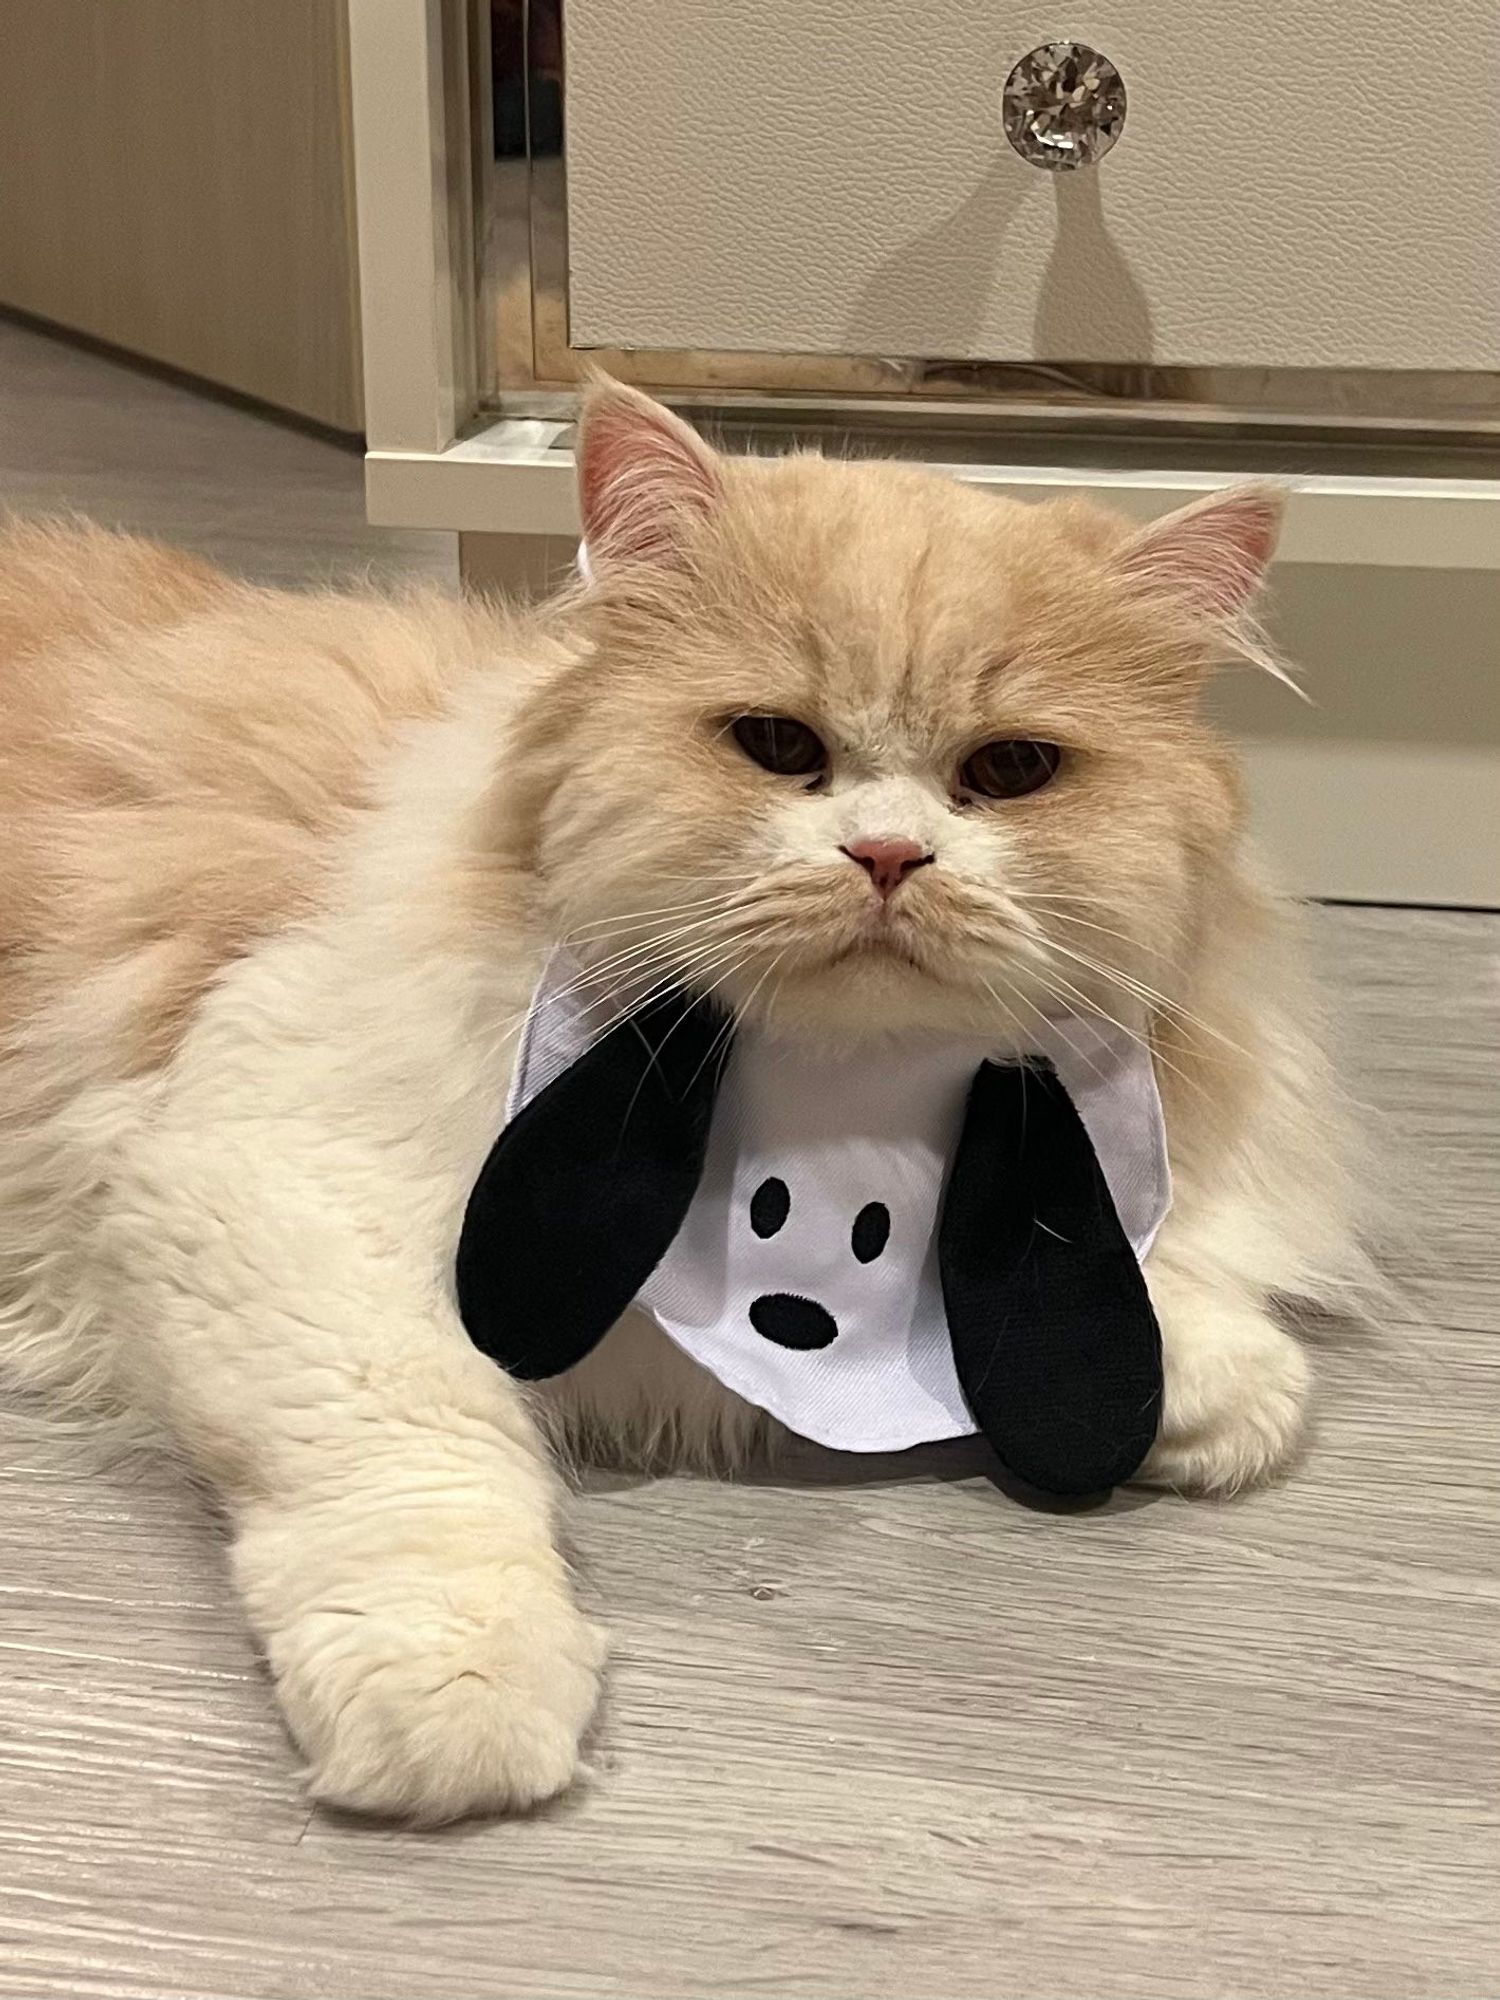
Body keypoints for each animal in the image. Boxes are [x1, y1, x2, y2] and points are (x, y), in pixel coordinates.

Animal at [0, 378, 1360, 1832]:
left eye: (1009, 773)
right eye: (777, 746)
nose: (889, 855)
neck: (839, 1111)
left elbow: (1136, 1304)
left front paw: (1211, 1379)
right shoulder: (277, 1177)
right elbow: (417, 1463)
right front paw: (460, 1700)